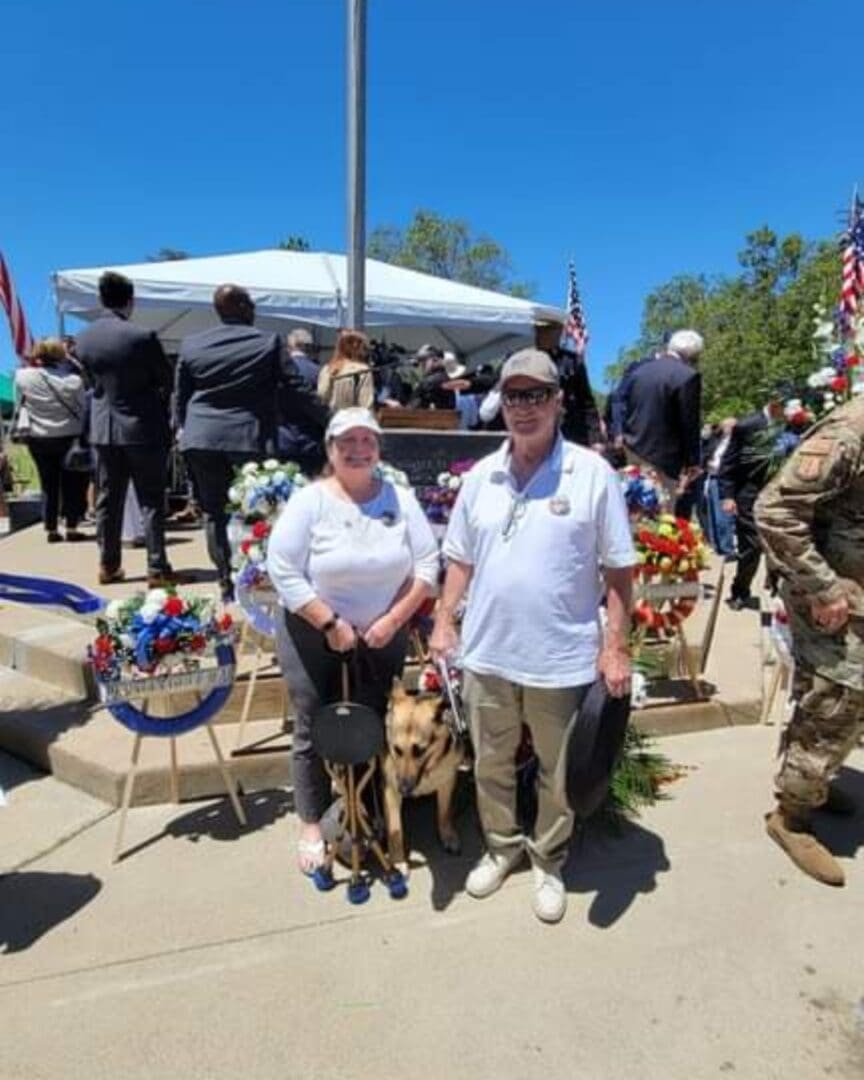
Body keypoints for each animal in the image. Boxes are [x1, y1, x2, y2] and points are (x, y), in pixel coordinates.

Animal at [382, 678, 466, 872]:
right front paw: (398, 860)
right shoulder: (391, 790)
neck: (427, 770)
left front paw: (448, 836)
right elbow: (395, 830)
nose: (404, 789)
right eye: (397, 749)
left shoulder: (447, 782)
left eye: (420, 750)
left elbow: (444, 813)